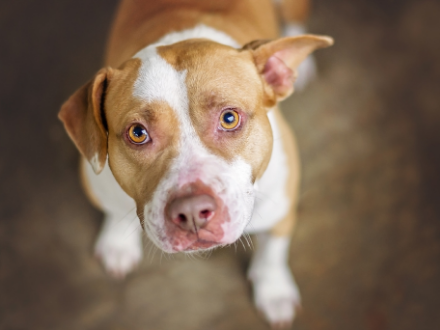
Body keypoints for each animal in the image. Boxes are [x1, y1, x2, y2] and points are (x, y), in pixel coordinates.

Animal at [59, 0, 334, 326]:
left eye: (229, 118)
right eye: (137, 133)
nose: (191, 212)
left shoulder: (281, 206)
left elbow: (272, 251)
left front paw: (274, 291)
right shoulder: (98, 183)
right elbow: (114, 212)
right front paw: (118, 244)